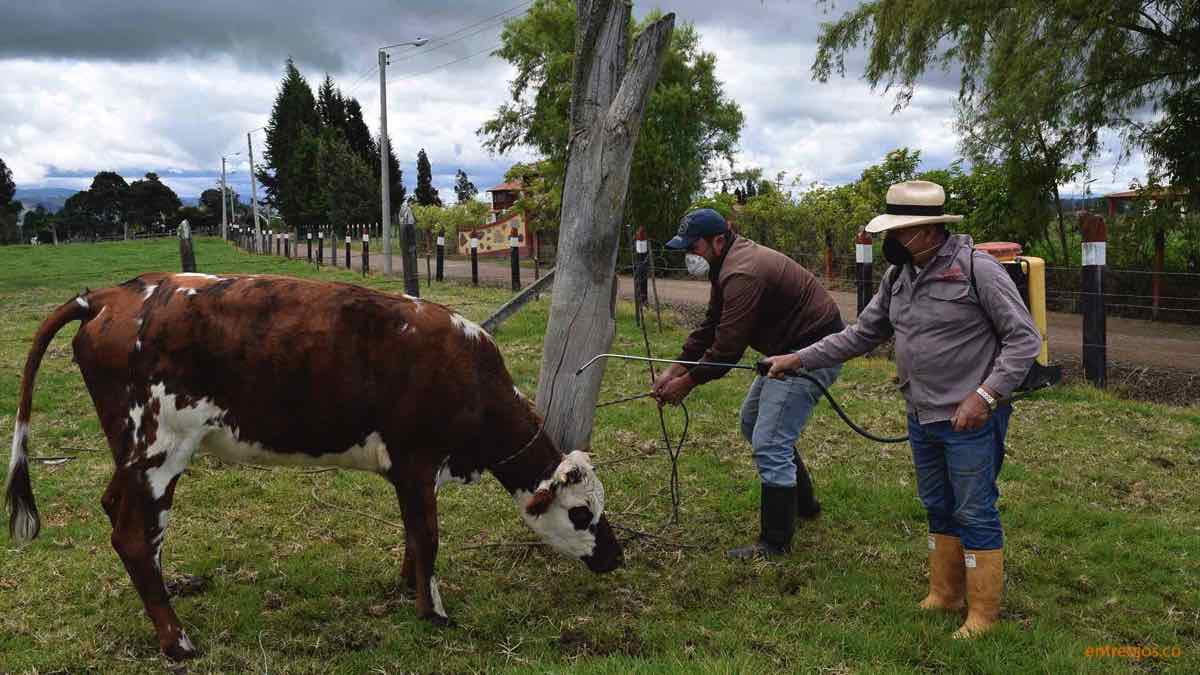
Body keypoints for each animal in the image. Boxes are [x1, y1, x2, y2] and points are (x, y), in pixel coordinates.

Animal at [0, 271, 619, 658]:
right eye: (581, 513)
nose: (615, 558)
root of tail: (110, 295)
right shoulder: (418, 458)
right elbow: (429, 535)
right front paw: (434, 612)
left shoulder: (408, 472)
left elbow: (413, 533)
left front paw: (406, 587)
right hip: (159, 447)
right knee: (133, 534)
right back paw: (176, 641)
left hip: (132, 451)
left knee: (124, 518)